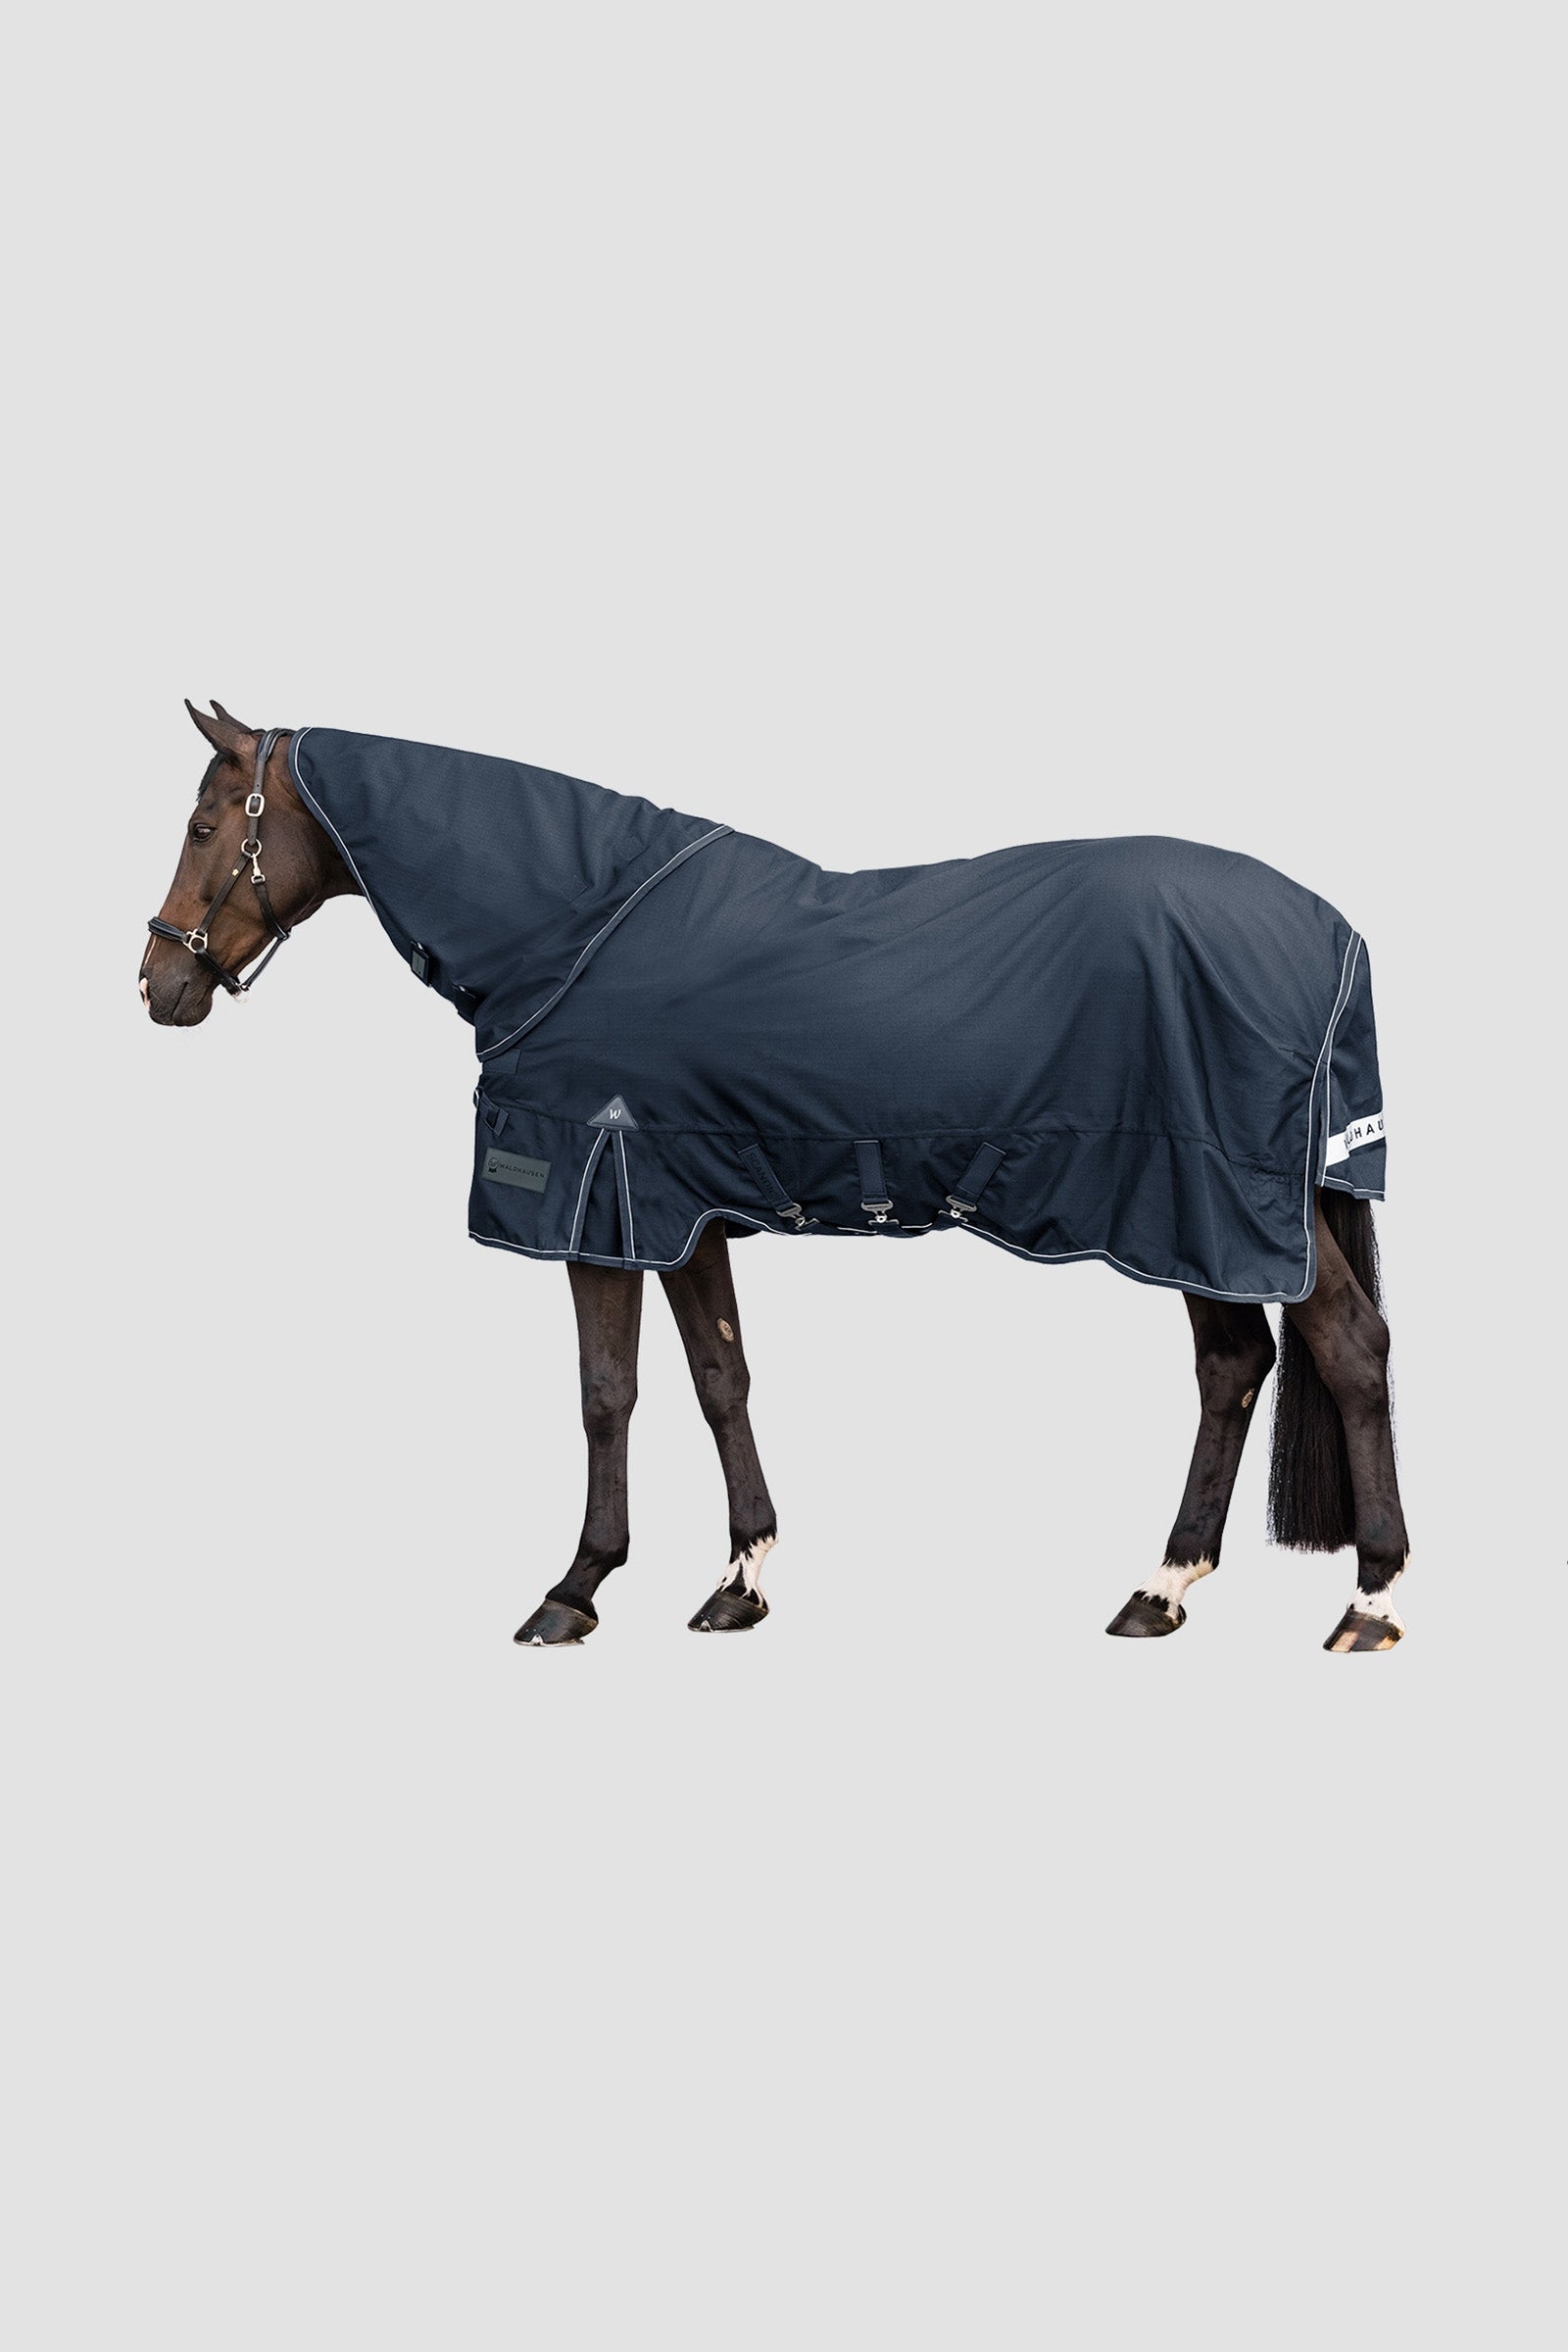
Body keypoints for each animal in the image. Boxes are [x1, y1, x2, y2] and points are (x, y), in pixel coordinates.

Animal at [142, 701, 1409, 1654]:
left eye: (205, 823)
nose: (159, 985)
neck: (573, 924)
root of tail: (1331, 932)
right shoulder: (682, 1210)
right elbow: (720, 1381)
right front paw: (738, 1581)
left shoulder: (597, 1205)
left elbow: (606, 1393)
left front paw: (575, 1589)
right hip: (1200, 1222)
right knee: (1234, 1367)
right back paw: (1161, 1589)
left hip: (1222, 1204)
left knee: (1346, 1349)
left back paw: (1369, 1600)